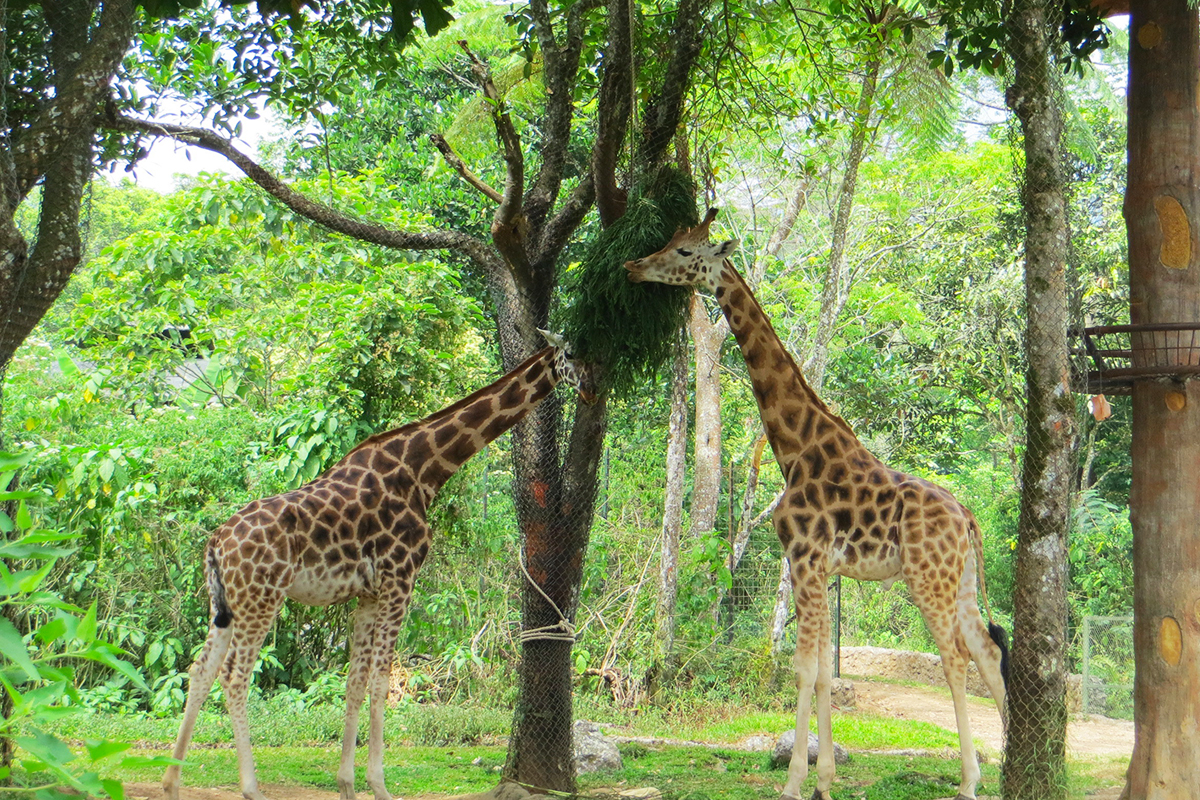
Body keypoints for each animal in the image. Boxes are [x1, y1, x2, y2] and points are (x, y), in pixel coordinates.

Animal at [164, 333, 595, 800]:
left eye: (595, 357)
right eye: (571, 355)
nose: (592, 391)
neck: (424, 469)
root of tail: (215, 543)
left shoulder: (368, 594)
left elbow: (354, 683)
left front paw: (347, 785)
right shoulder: (400, 579)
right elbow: (381, 681)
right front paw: (379, 785)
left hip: (225, 604)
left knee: (200, 670)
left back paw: (171, 781)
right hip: (262, 597)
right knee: (235, 676)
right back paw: (250, 788)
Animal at [624, 209, 1008, 800]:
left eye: (688, 252)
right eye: (669, 241)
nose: (633, 266)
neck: (794, 447)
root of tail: (967, 517)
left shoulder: (804, 558)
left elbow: (803, 668)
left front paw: (793, 784)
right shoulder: (821, 567)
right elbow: (825, 670)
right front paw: (825, 780)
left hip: (928, 577)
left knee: (956, 658)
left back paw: (969, 783)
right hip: (959, 580)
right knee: (987, 653)